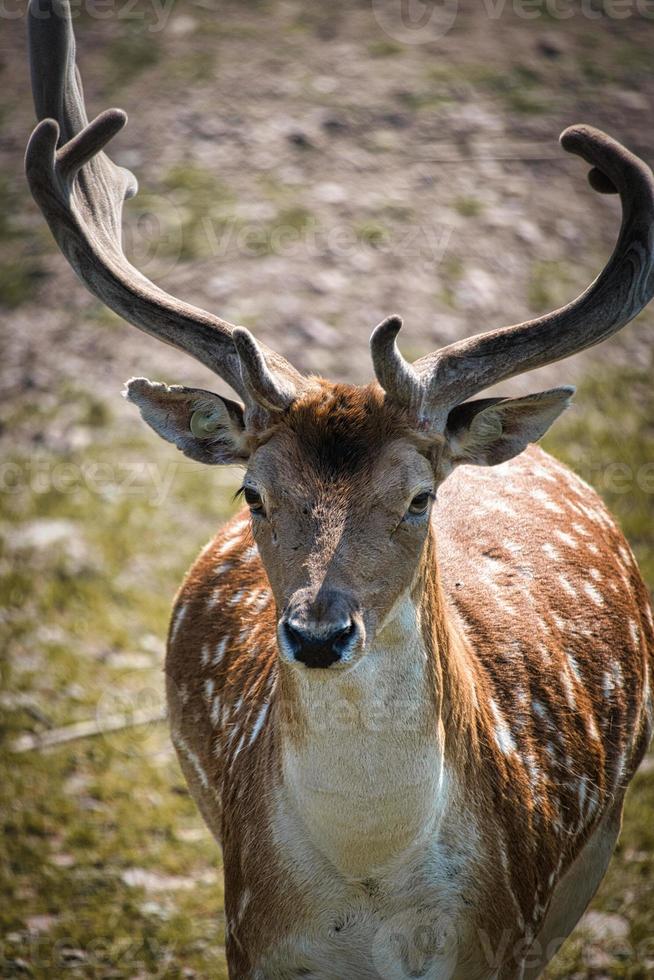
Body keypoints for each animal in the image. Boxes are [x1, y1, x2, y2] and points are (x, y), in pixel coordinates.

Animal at [26, 3, 654, 976]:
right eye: (252, 493)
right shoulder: (250, 926)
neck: (365, 887)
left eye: (420, 496)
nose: (319, 634)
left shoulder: (507, 927)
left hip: (592, 855)